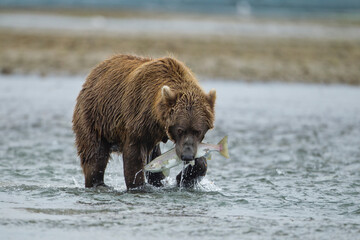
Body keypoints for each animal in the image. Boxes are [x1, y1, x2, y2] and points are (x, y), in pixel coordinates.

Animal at [71, 54, 215, 189]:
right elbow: (134, 156)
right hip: (95, 117)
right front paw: (138, 185)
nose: (187, 155)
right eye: (180, 130)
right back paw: (98, 183)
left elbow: (200, 158)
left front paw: (185, 177)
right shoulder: (138, 116)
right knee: (95, 155)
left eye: (198, 131)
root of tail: (95, 71)